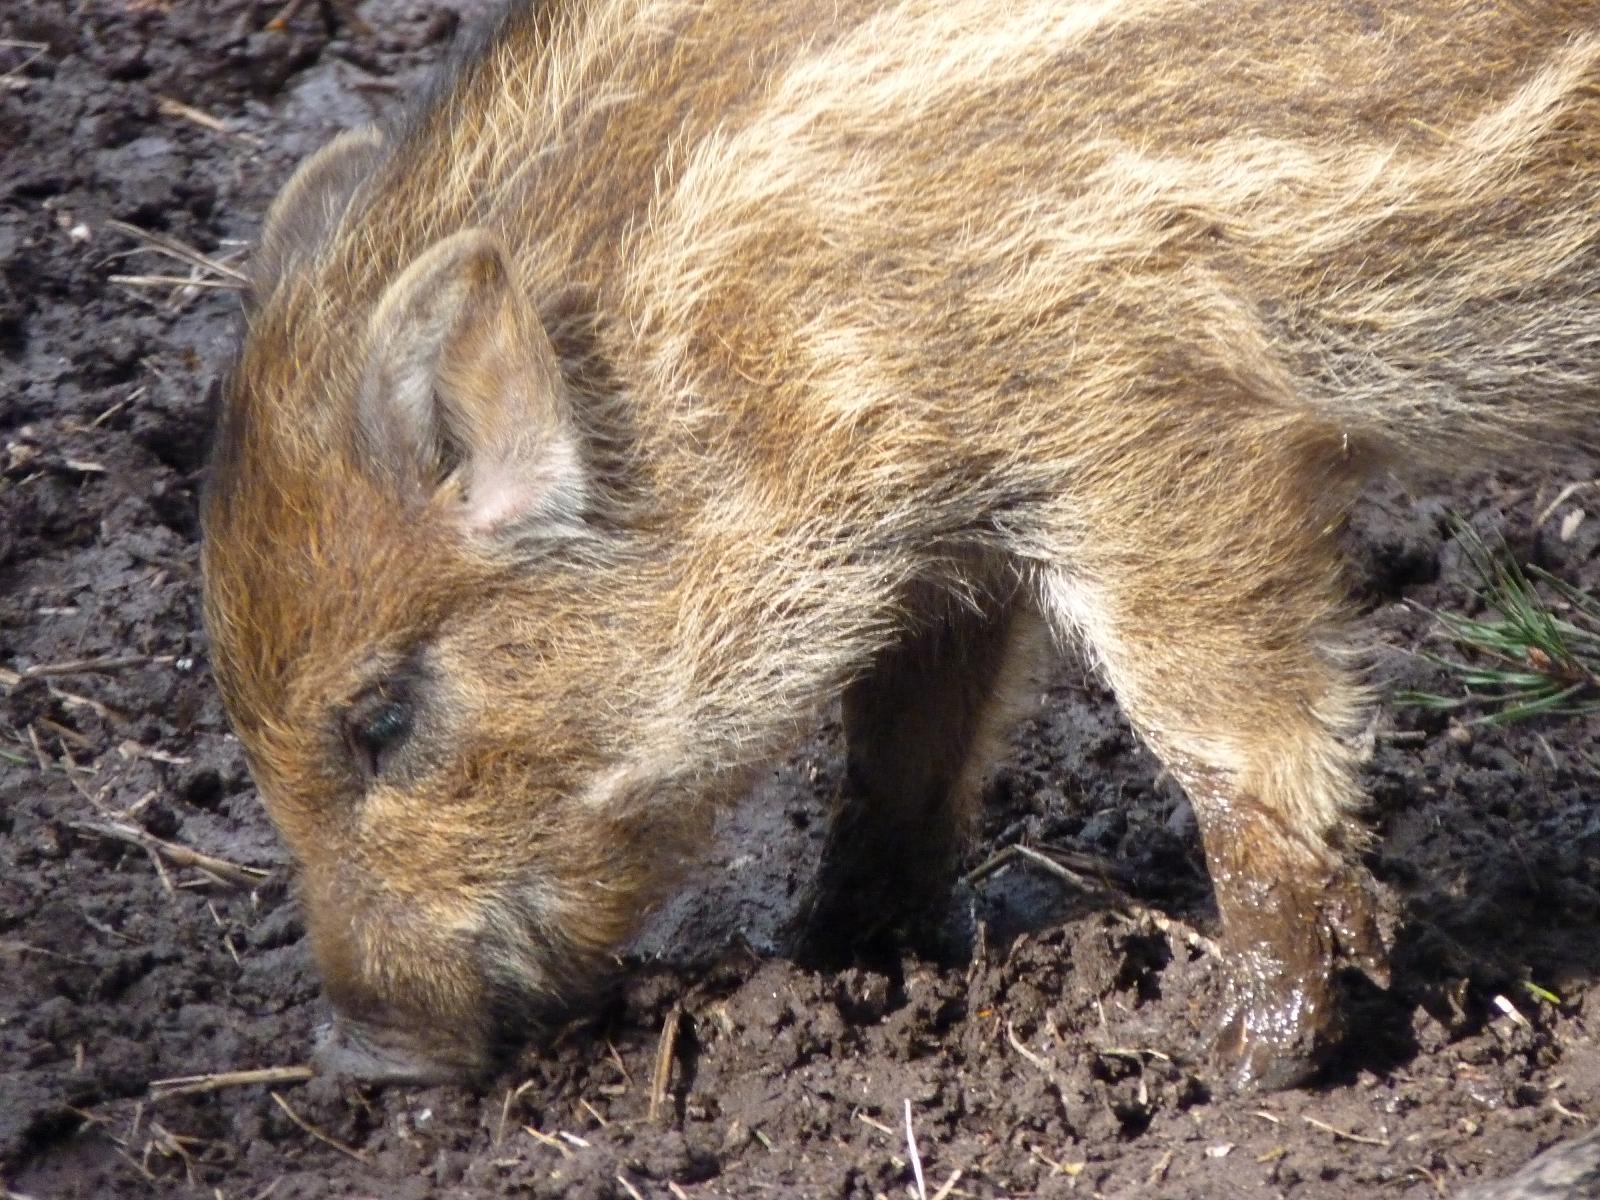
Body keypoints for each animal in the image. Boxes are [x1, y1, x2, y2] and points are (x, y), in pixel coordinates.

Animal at [201, 0, 1600, 1088]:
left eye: (381, 718)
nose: (364, 1057)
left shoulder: (1159, 441)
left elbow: (1232, 751)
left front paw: (1242, 1067)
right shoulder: (945, 531)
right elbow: (898, 742)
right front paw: (836, 956)